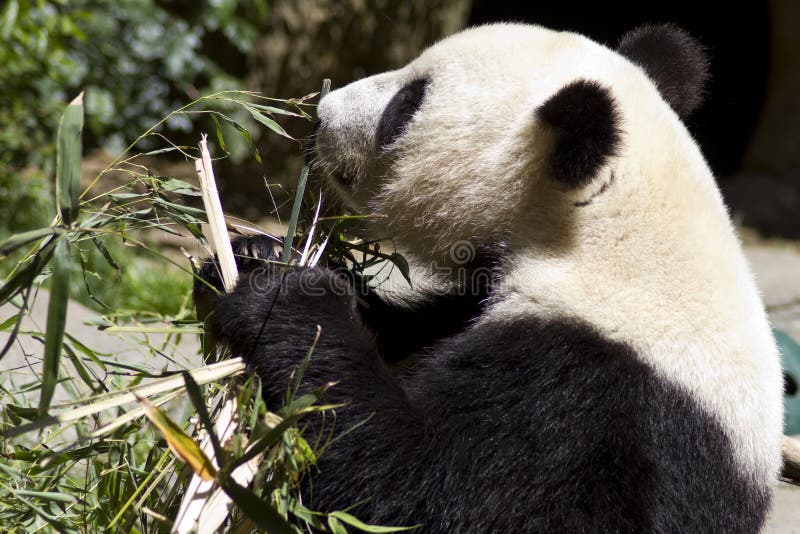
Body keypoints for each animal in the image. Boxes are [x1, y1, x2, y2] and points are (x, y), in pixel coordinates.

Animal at [198, 24, 780, 534]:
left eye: (405, 105)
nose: (320, 114)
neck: (605, 232)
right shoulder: (474, 301)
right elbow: (404, 332)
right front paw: (253, 255)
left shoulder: (595, 394)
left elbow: (427, 494)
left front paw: (288, 301)